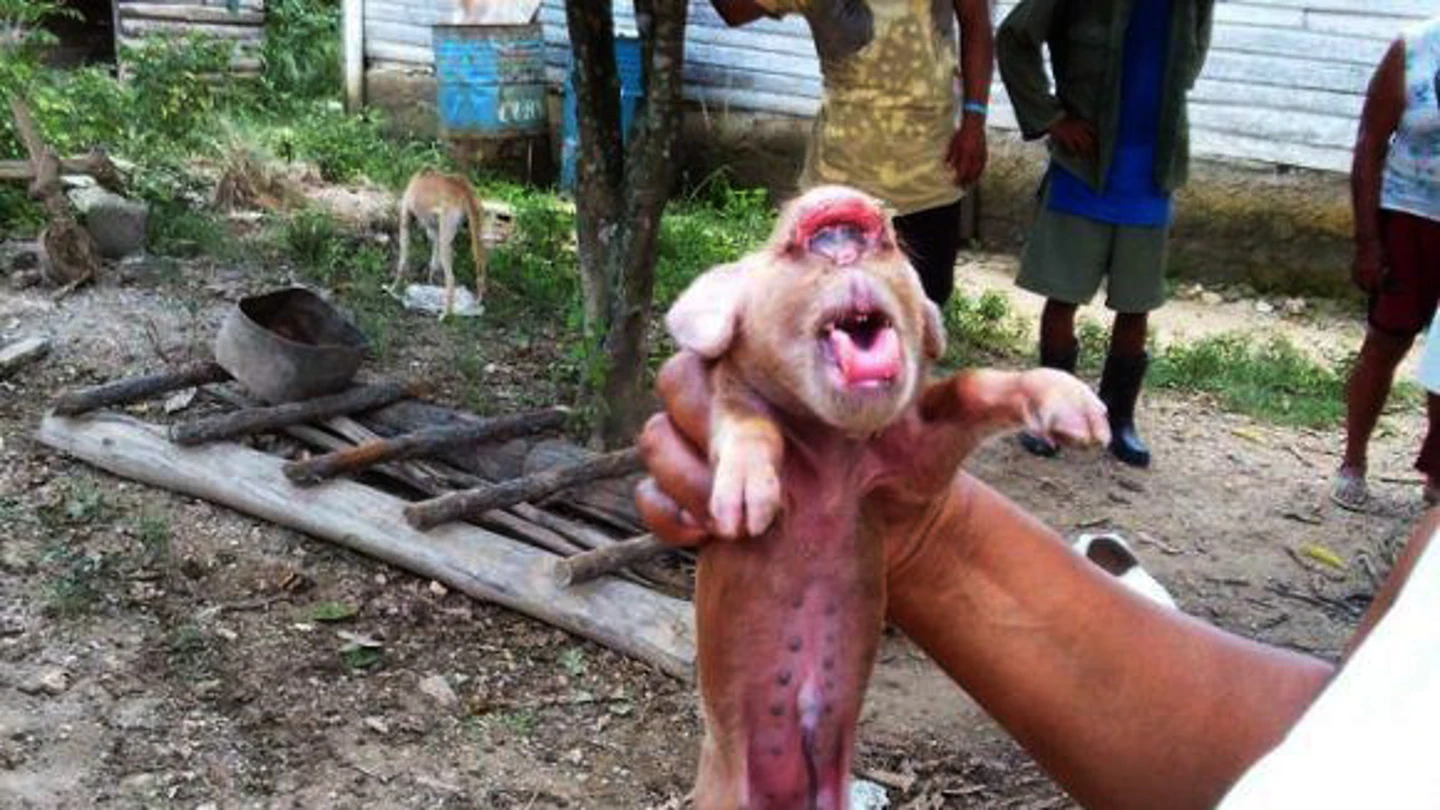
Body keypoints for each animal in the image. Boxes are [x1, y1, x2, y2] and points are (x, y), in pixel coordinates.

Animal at [392, 170, 487, 321]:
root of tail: (462, 187)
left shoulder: (405, 218)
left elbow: (403, 259)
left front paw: (393, 287)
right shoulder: (435, 230)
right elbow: (433, 262)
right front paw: (430, 281)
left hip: (447, 234)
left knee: (451, 279)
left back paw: (446, 313)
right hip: (476, 233)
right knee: (481, 268)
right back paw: (476, 302)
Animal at [664, 185, 1110, 810]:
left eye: (894, 246)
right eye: (779, 244)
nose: (840, 199)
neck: (830, 455)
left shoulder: (912, 462)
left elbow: (970, 385)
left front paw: (1086, 419)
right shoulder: (727, 395)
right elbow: (745, 417)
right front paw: (746, 508)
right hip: (723, 789)